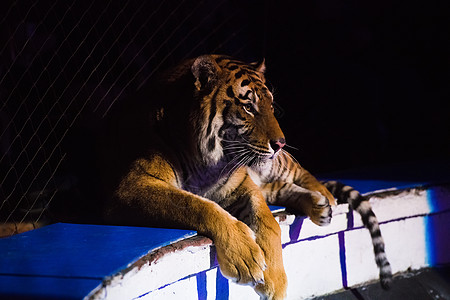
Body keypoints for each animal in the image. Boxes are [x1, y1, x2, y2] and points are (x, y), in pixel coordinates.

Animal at [104, 55, 390, 298]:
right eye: (249, 106)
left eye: (271, 105)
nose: (281, 143)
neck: (206, 160)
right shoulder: (132, 185)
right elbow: (197, 205)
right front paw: (245, 259)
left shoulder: (240, 184)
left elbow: (269, 222)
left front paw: (275, 282)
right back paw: (317, 204)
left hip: (276, 166)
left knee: (300, 173)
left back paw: (325, 199)